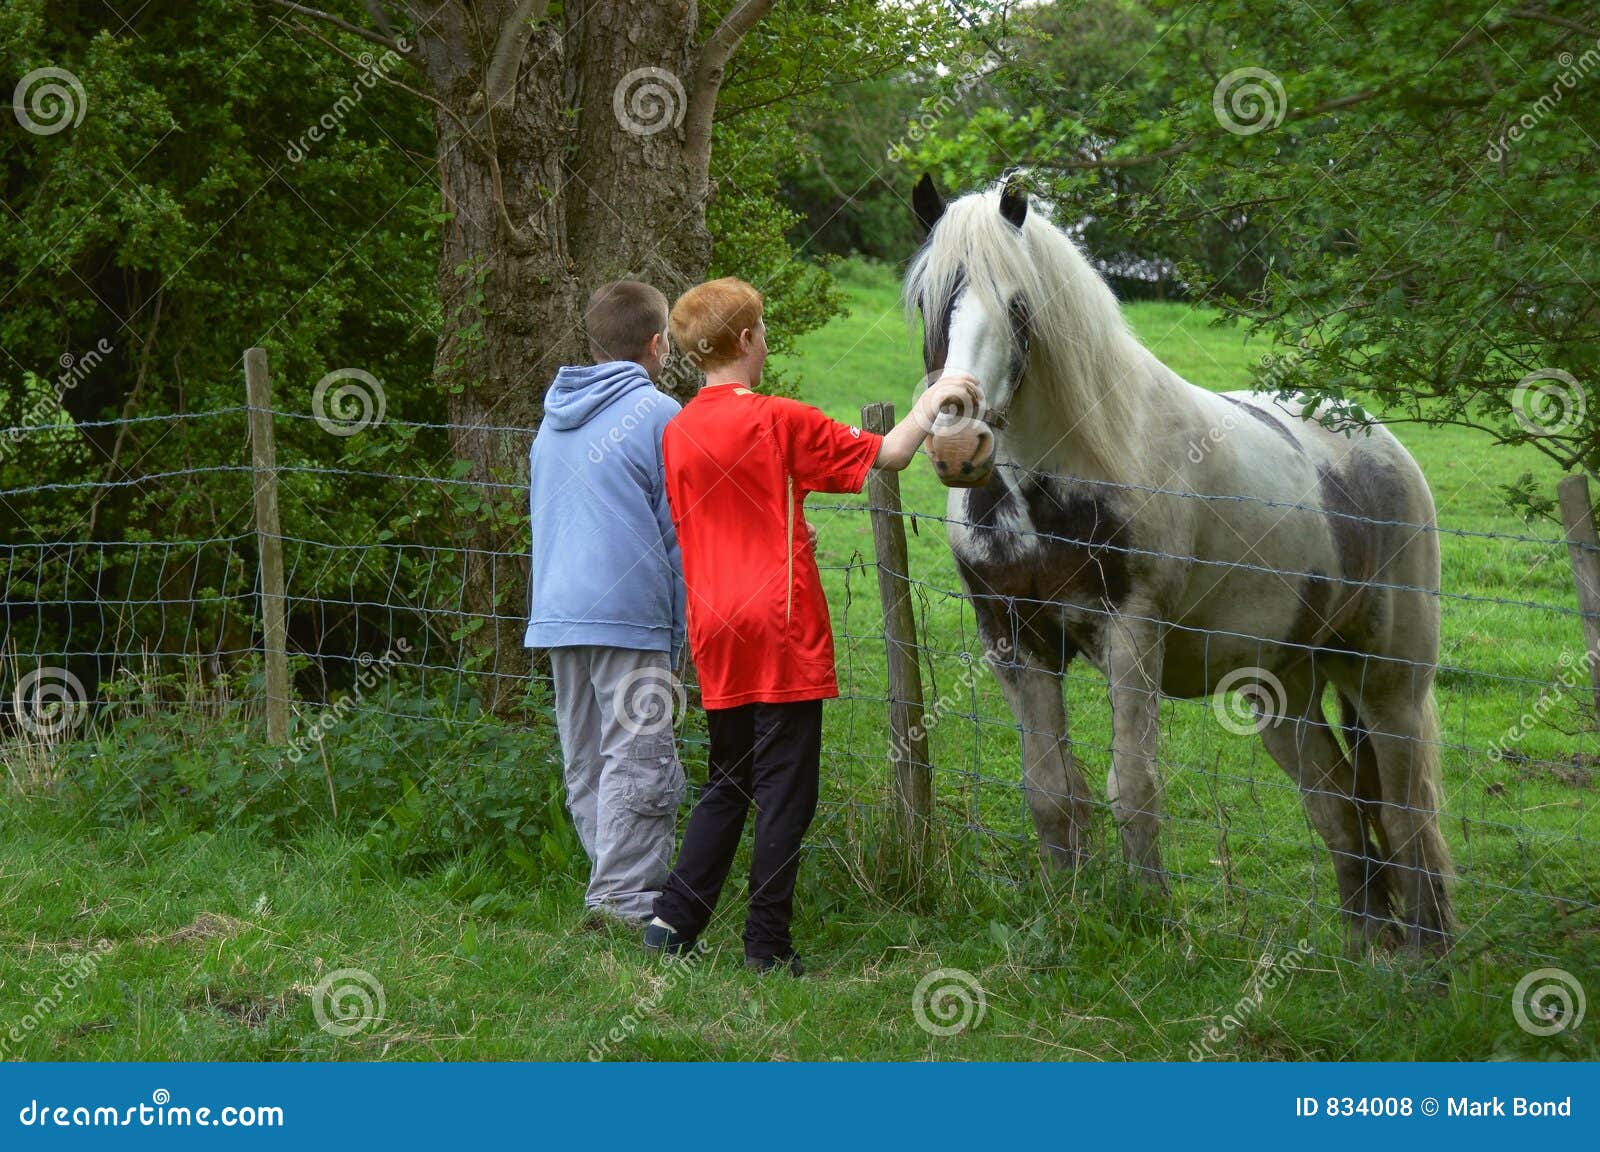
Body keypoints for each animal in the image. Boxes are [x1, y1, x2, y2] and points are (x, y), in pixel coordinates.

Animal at [904, 173, 1454, 953]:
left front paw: (1150, 918)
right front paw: (1064, 908)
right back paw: (1363, 953)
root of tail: (1377, 443)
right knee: (1340, 810)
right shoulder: (1015, 638)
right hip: (1283, 689)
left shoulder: (1131, 634)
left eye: (1018, 304)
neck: (1050, 484)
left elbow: (1132, 788)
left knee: (1409, 817)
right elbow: (1051, 793)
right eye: (929, 300)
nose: (958, 446)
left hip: (1387, 682)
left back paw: (1425, 961)